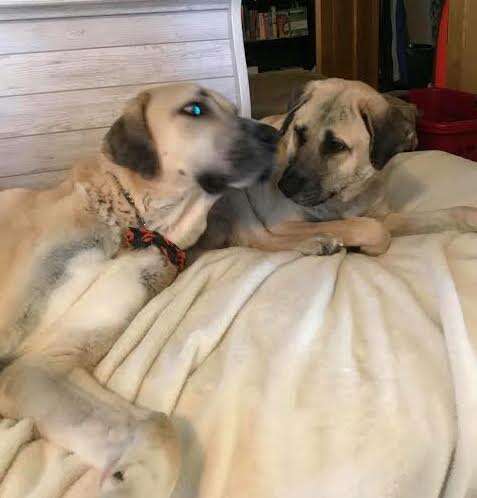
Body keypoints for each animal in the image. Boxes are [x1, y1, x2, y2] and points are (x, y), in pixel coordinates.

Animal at [0, 82, 278, 498]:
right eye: (195, 109)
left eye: (233, 109)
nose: (276, 135)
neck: (140, 227)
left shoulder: (42, 364)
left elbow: (158, 427)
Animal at [196, 79, 476, 256]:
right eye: (299, 132)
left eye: (336, 146)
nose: (284, 187)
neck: (346, 196)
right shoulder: (285, 223)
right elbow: (371, 228)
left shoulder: (381, 213)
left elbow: (433, 216)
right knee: (256, 239)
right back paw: (316, 243)